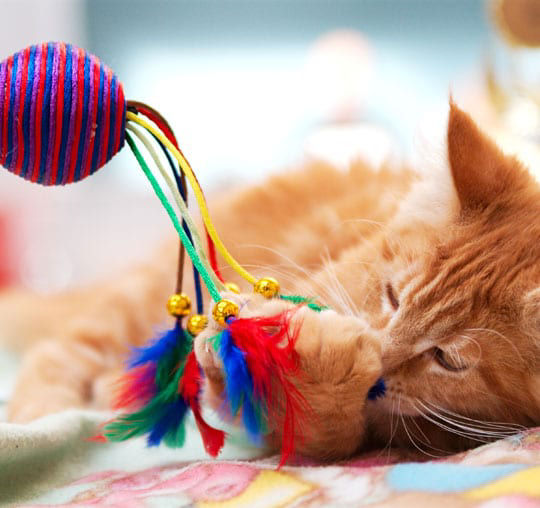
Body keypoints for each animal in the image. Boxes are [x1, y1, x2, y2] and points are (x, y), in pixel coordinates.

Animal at [1, 103, 540, 460]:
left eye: (447, 359)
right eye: (391, 296)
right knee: (59, 355)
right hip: (134, 306)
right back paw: (41, 419)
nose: (381, 365)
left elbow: (323, 429)